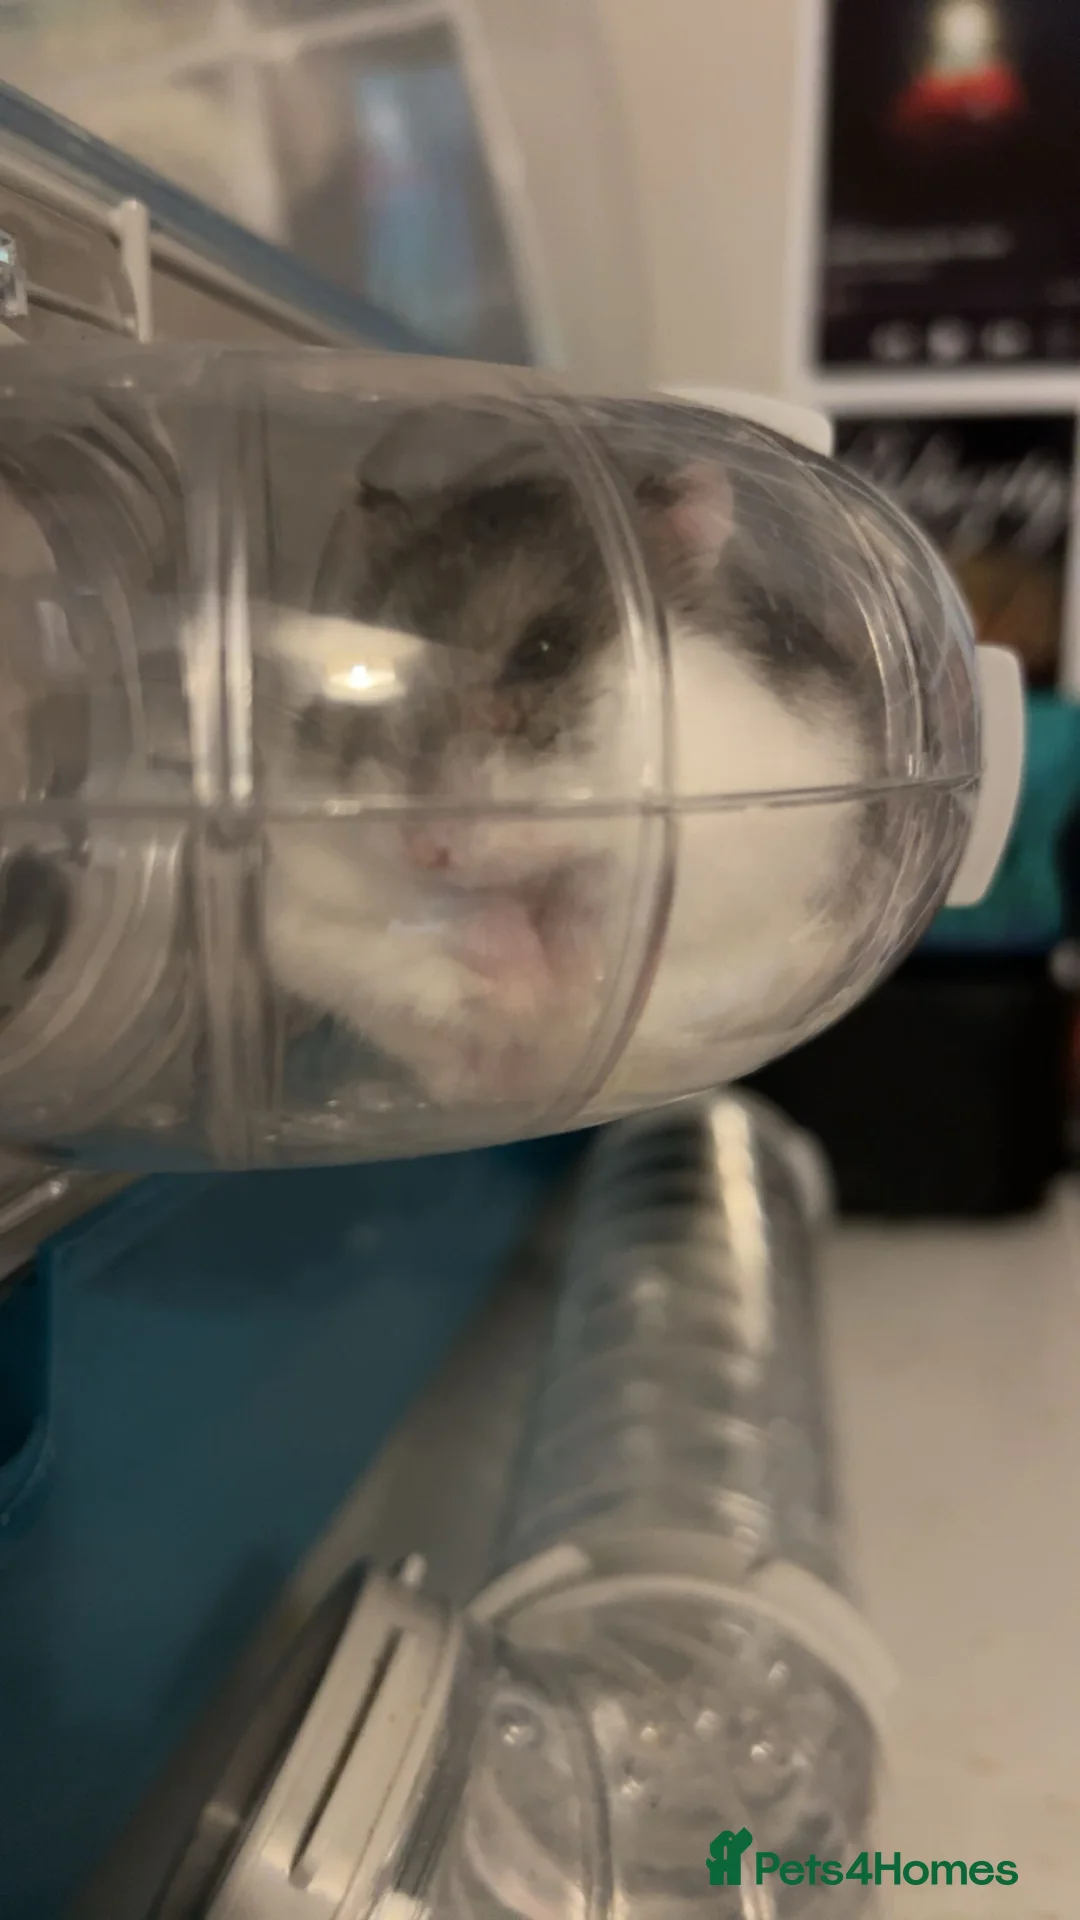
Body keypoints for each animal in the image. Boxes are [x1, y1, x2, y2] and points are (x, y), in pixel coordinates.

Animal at [261, 455, 871, 1108]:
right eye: (362, 671)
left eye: (546, 651)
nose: (426, 851)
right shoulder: (321, 876)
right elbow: (440, 917)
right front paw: (526, 993)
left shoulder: (736, 841)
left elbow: (599, 906)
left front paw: (567, 994)